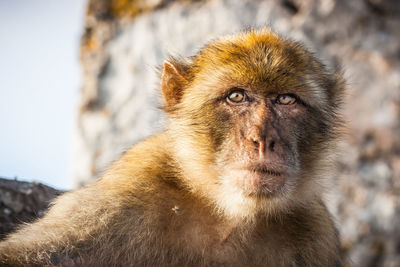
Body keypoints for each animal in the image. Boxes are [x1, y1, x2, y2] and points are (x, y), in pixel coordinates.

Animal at [0, 28, 344, 266]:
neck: (230, 216)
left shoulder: (315, 233)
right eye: (236, 96)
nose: (262, 139)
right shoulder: (125, 193)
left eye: (286, 99)